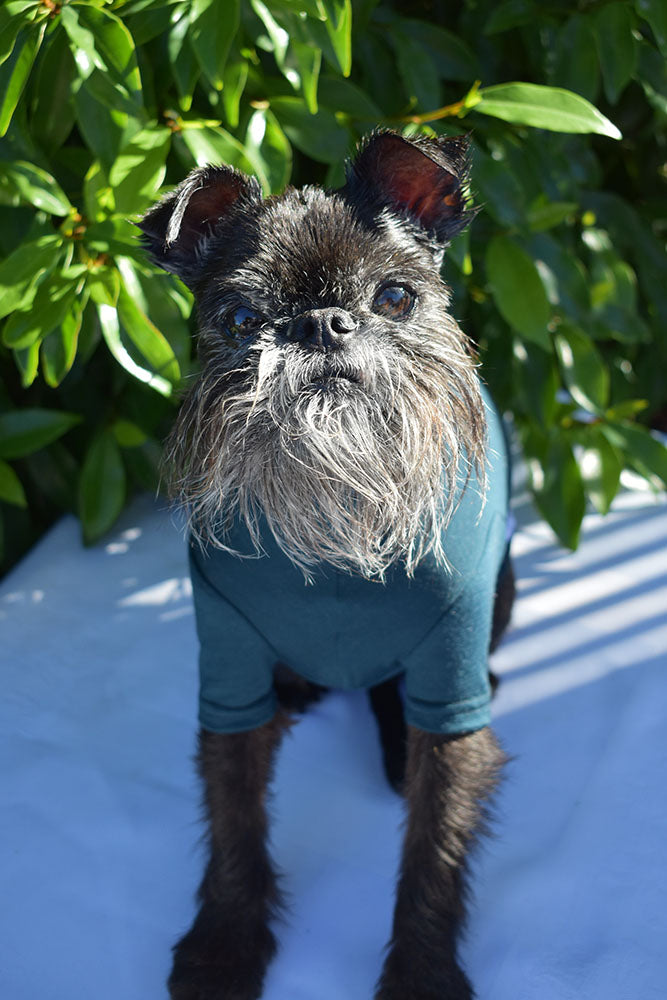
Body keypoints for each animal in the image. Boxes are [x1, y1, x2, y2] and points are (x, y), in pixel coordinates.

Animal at [140, 133, 516, 1000]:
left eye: (396, 298)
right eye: (242, 319)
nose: (319, 324)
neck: (341, 515)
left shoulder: (451, 690)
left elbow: (434, 844)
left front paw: (420, 972)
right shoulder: (228, 674)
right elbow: (233, 817)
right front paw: (223, 944)